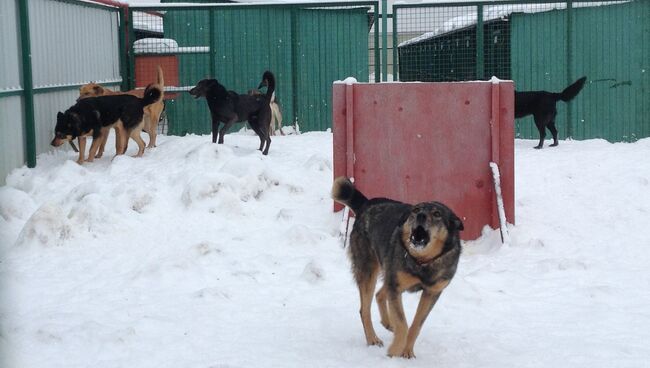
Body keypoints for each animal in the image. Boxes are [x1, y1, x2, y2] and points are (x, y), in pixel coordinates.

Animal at [332, 177, 464, 358]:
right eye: (416, 210)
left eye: (437, 214)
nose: (420, 215)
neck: (422, 262)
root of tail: (367, 204)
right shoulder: (396, 287)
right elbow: (403, 324)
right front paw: (395, 350)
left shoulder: (432, 292)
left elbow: (415, 326)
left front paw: (407, 351)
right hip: (368, 270)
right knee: (365, 309)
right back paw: (373, 339)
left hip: (388, 273)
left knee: (380, 294)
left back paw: (388, 324)